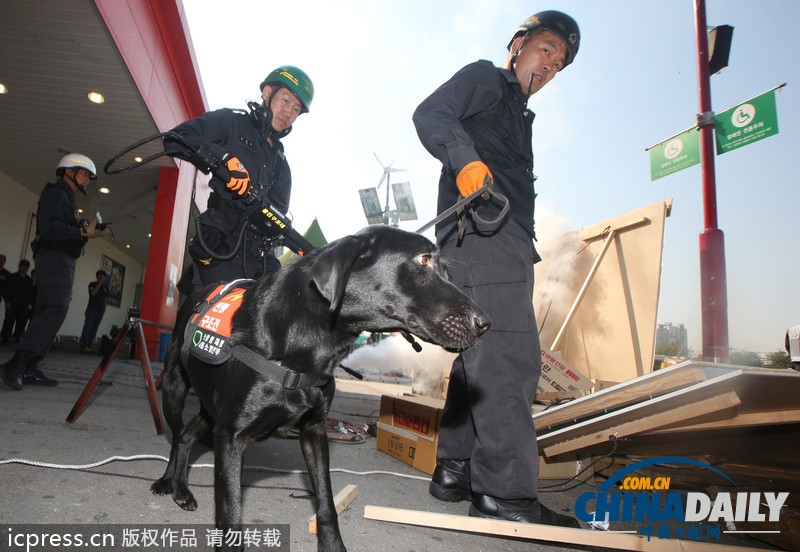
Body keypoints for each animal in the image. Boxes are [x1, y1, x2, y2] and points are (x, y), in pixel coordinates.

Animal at [149, 225, 488, 552]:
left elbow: (326, 501)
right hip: (174, 389)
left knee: (187, 434)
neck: (309, 339)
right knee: (176, 433)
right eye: (423, 261)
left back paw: (180, 488)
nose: (485, 323)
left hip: (212, 409)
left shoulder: (314, 431)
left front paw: (333, 545)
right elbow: (231, 515)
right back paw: (169, 482)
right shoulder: (231, 437)